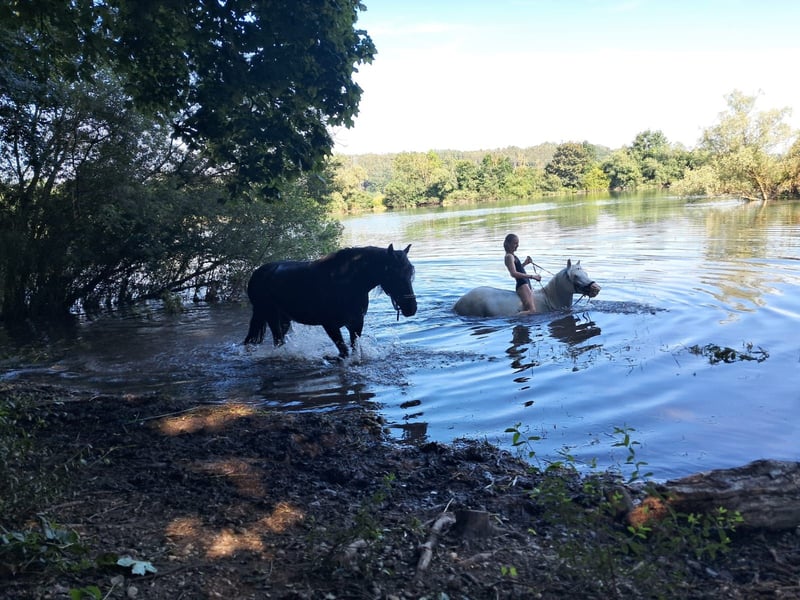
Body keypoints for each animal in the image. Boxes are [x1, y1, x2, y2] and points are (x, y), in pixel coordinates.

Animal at [244, 244, 417, 358]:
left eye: (410, 272)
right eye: (393, 273)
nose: (411, 308)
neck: (346, 281)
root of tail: (256, 274)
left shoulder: (356, 323)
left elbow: (355, 351)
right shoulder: (330, 325)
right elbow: (344, 353)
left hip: (284, 320)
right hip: (271, 317)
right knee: (278, 341)